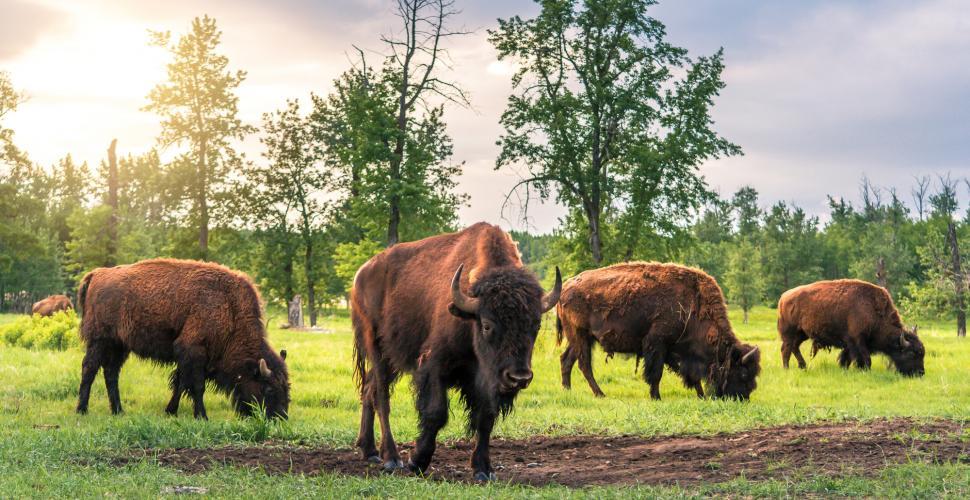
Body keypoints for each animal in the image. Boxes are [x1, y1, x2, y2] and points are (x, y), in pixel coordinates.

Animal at [75, 260, 290, 420]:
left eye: (286, 387)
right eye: (268, 388)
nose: (280, 417)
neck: (230, 308)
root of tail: (97, 274)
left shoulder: (190, 358)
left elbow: (180, 383)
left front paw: (171, 411)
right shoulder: (193, 350)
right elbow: (197, 386)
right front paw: (202, 416)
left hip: (120, 345)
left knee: (111, 372)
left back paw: (118, 410)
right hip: (100, 340)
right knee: (89, 368)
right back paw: (82, 410)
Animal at [350, 223, 560, 480]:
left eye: (536, 325)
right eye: (487, 324)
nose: (518, 377)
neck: (470, 318)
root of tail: (360, 275)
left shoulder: (487, 379)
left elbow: (485, 418)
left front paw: (483, 469)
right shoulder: (434, 367)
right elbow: (436, 413)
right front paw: (417, 461)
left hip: (393, 358)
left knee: (368, 389)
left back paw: (369, 451)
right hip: (376, 347)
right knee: (381, 397)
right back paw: (391, 458)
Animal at [556, 264, 760, 400]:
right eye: (743, 374)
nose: (743, 398)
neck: (694, 305)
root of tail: (565, 288)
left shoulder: (675, 350)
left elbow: (690, 376)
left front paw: (701, 395)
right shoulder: (657, 344)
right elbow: (656, 373)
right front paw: (656, 397)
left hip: (580, 338)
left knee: (567, 360)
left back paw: (567, 390)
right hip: (581, 336)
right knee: (584, 364)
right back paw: (599, 394)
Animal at [772, 280, 924, 376]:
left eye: (922, 353)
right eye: (911, 353)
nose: (920, 373)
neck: (874, 310)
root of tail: (783, 297)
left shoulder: (849, 343)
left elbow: (846, 358)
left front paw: (844, 368)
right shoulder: (857, 340)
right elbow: (865, 358)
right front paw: (864, 371)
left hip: (802, 334)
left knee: (794, 347)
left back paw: (803, 366)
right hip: (790, 333)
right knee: (786, 349)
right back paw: (787, 368)